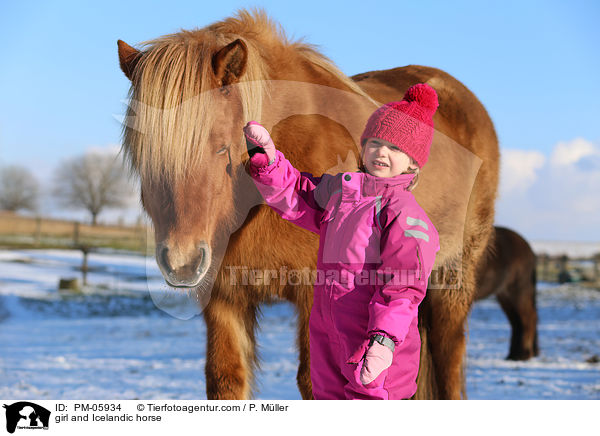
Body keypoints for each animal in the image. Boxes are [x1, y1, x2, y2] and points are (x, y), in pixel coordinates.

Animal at [116, 9, 496, 398]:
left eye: (221, 147)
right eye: (144, 151)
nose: (182, 263)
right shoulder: (224, 298)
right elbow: (225, 379)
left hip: (452, 282)